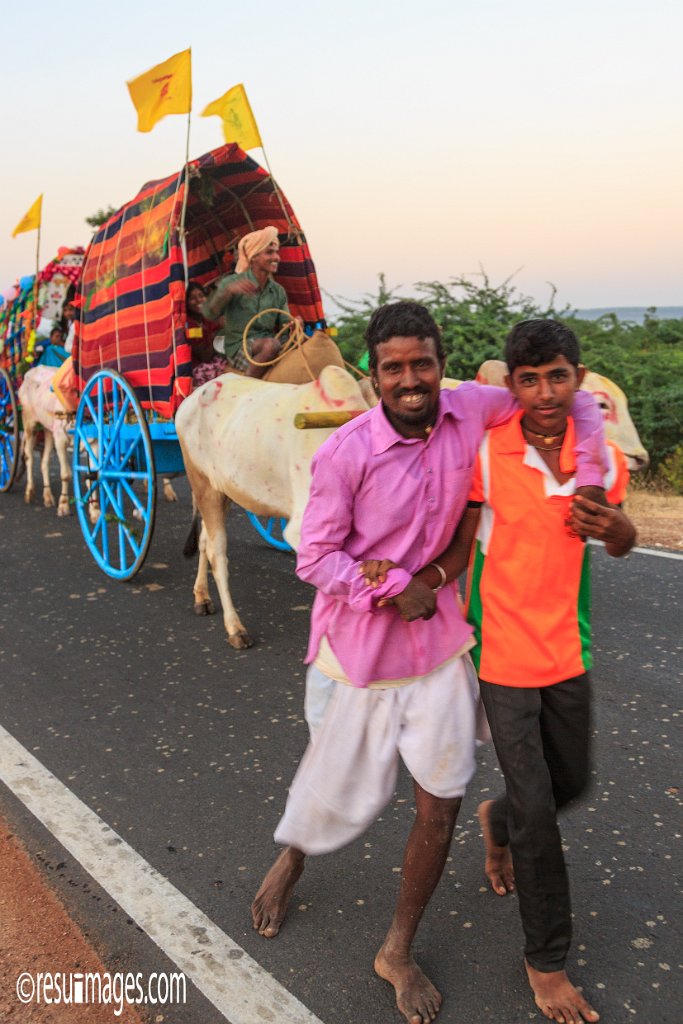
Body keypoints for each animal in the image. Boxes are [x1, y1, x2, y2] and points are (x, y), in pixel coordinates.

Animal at [17, 364, 72, 516]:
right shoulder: (60, 438)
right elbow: (66, 474)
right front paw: (64, 505)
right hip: (29, 423)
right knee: (29, 457)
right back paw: (29, 492)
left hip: (48, 430)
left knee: (44, 462)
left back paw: (47, 496)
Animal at [176, 366, 368, 647]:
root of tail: (193, 396)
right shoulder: (302, 531)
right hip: (203, 485)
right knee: (216, 553)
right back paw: (235, 628)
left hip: (222, 492)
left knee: (204, 541)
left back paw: (202, 597)